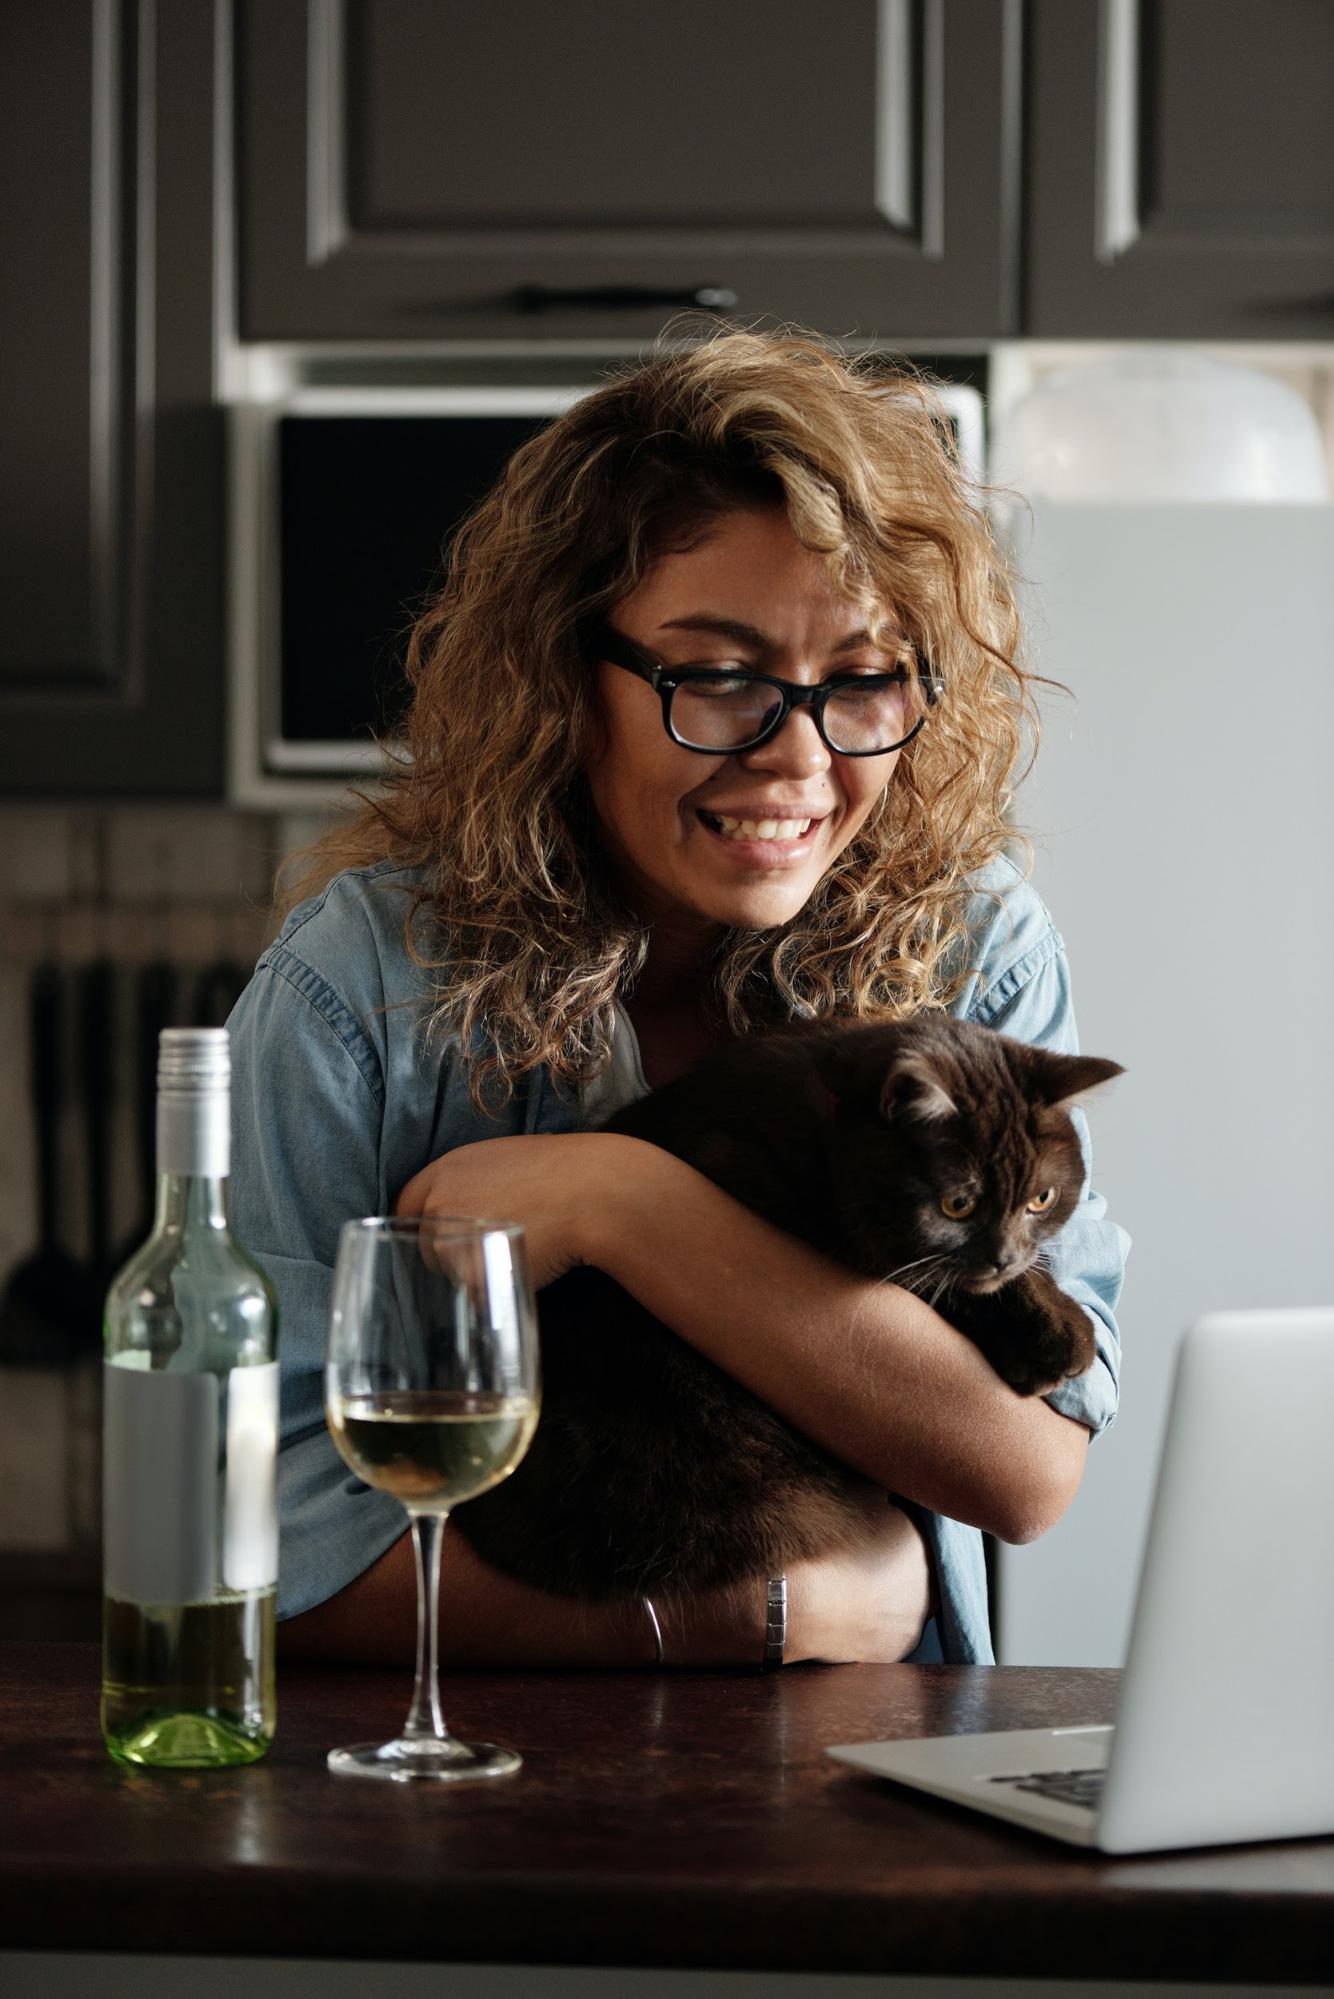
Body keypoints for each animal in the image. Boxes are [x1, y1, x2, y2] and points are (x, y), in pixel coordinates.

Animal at [454, 1015, 1120, 1591]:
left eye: (1040, 1199)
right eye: (957, 1204)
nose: (1003, 1255)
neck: (829, 1130)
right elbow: (935, 1283)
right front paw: (1059, 1337)